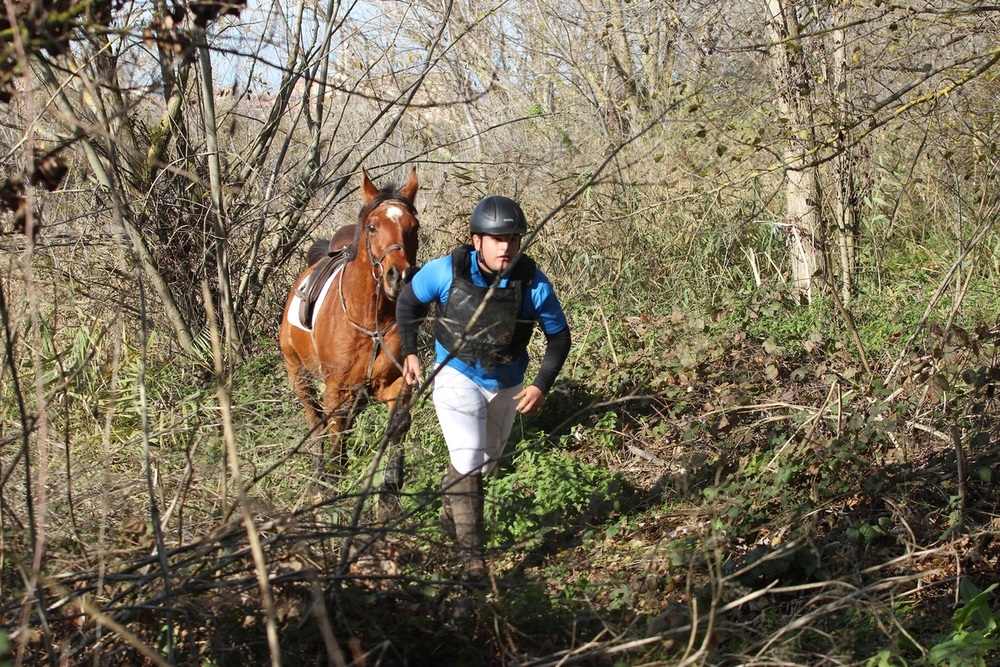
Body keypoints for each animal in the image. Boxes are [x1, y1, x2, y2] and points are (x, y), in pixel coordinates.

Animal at [280, 167, 420, 490]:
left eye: (414, 227)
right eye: (372, 226)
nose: (399, 276)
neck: (370, 321)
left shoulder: (394, 383)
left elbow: (398, 425)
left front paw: (390, 487)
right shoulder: (335, 392)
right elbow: (334, 436)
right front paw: (329, 481)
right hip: (298, 373)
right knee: (316, 422)